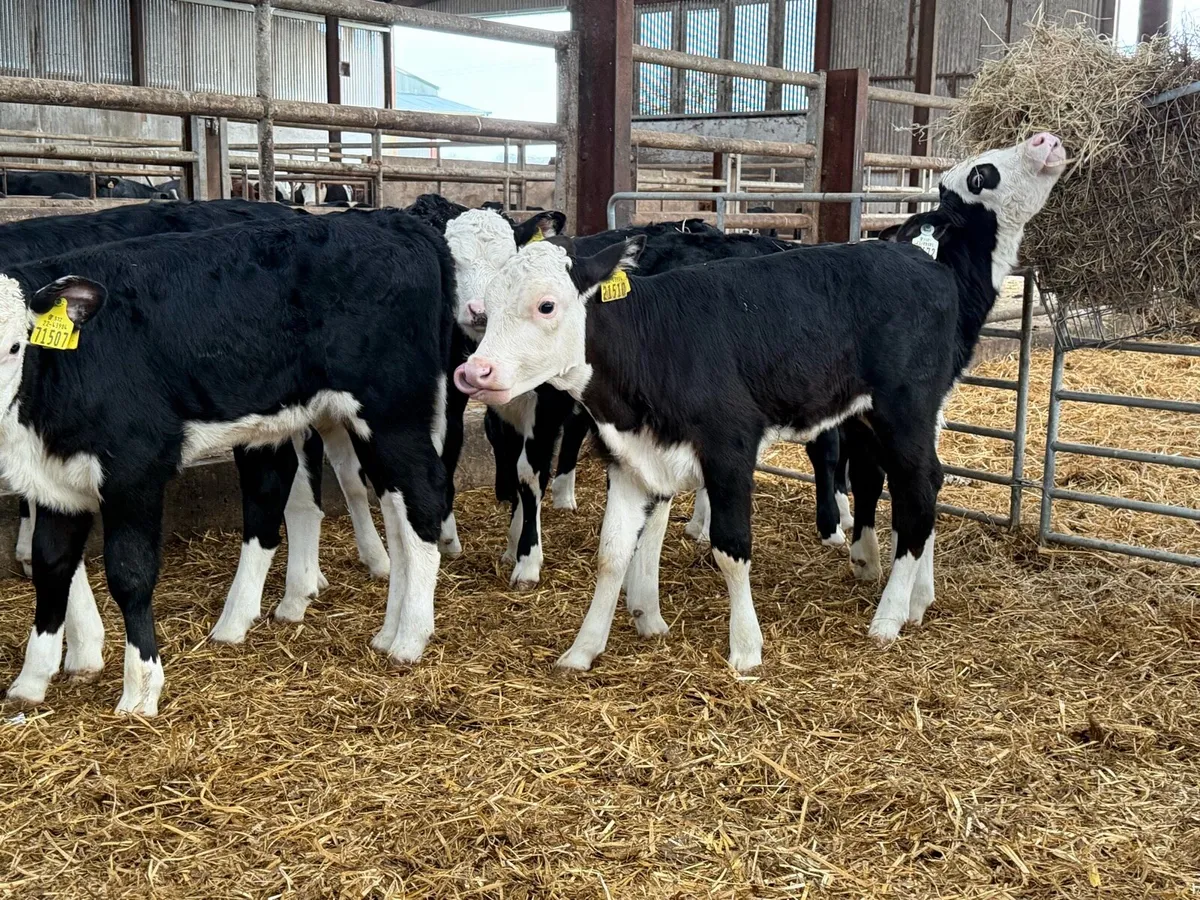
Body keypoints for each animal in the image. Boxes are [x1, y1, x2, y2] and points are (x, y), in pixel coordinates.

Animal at [1, 209, 457, 715]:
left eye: (15, 346)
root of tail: (393, 221)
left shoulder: (135, 469)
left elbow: (129, 572)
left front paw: (139, 689)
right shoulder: (55, 480)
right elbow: (52, 565)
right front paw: (32, 680)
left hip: (392, 411)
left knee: (424, 497)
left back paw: (409, 637)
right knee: (388, 509)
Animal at [455, 134, 1067, 671]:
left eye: (547, 305)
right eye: (492, 305)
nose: (474, 370)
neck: (657, 338)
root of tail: (926, 264)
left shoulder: (729, 448)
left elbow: (731, 547)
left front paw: (746, 649)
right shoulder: (633, 459)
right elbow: (612, 554)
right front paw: (584, 650)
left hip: (907, 409)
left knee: (918, 489)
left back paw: (890, 616)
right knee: (913, 483)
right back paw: (912, 597)